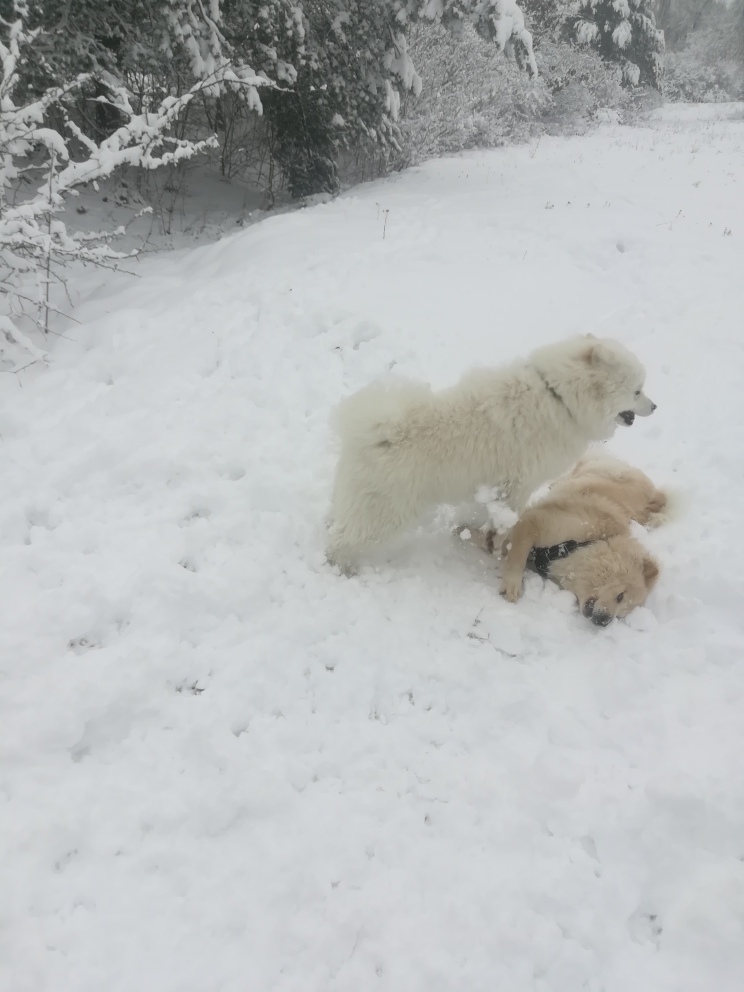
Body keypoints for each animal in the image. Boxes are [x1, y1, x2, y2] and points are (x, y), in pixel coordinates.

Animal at [328, 338, 652, 564]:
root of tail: (374, 433)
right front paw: (497, 546)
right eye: (637, 390)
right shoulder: (520, 483)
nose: (655, 406)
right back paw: (342, 567)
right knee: (342, 540)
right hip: (387, 513)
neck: (559, 397)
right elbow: (505, 521)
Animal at [468, 458, 664, 628]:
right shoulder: (535, 522)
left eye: (621, 615)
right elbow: (516, 558)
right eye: (621, 596)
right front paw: (511, 587)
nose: (604, 622)